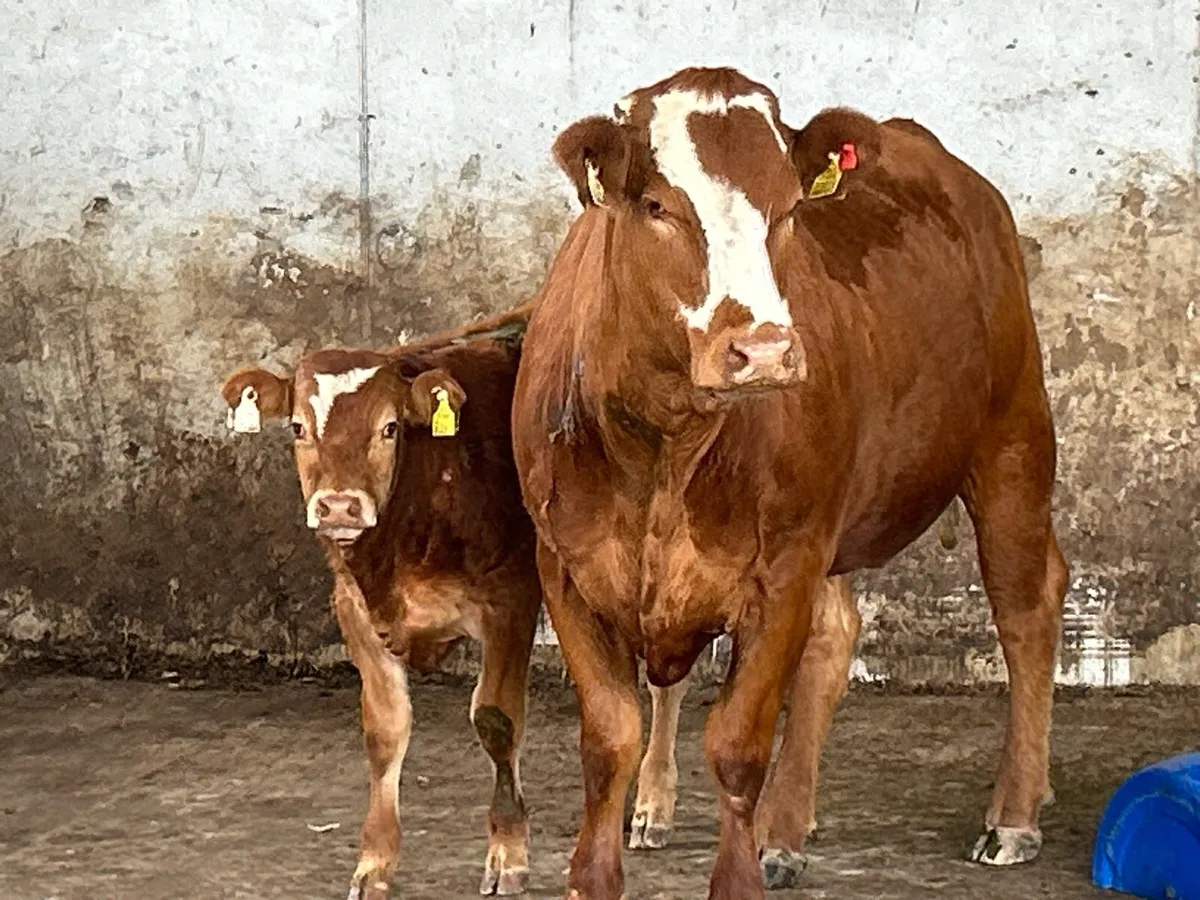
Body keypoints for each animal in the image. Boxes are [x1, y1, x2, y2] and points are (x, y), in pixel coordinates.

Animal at [218, 308, 699, 898]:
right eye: (297, 428)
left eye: (390, 428)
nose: (339, 507)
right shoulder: (353, 606)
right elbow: (385, 731)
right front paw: (373, 863)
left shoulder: (511, 599)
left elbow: (497, 720)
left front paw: (507, 853)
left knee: (668, 681)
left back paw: (659, 805)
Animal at [511, 65, 1068, 900]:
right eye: (657, 206)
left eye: (791, 208)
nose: (765, 350)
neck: (665, 451)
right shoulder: (566, 570)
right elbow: (610, 738)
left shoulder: (782, 569)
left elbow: (738, 742)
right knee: (838, 634)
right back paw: (784, 828)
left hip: (1012, 439)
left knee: (1026, 610)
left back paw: (1013, 813)